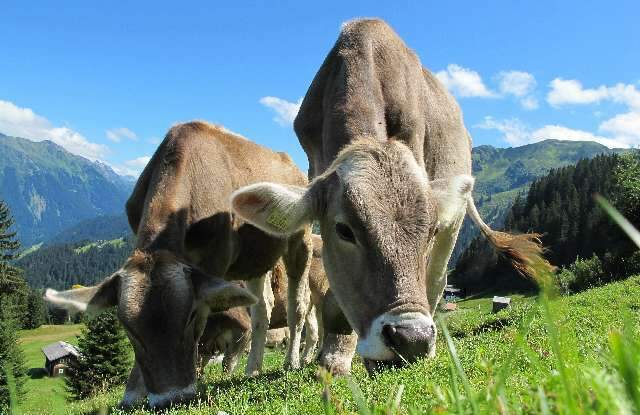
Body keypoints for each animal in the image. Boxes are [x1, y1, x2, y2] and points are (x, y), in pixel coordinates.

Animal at [43, 122, 312, 412]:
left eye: (192, 316)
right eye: (128, 329)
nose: (172, 398)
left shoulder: (215, 261)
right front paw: (133, 393)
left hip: (300, 239)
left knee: (298, 304)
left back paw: (292, 361)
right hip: (256, 259)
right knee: (263, 307)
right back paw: (253, 368)